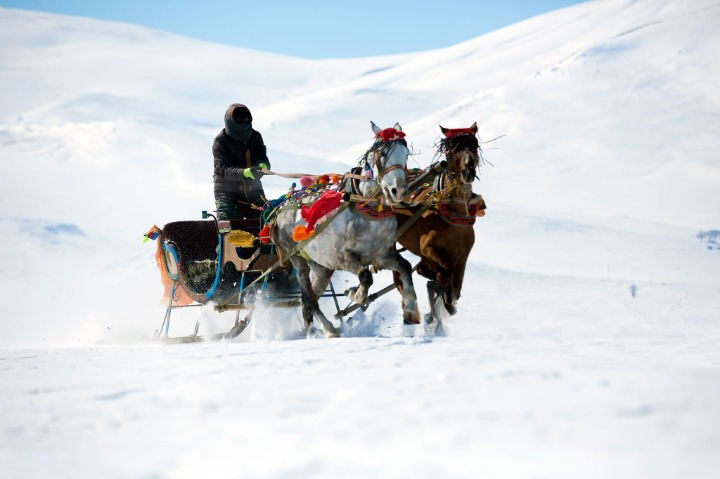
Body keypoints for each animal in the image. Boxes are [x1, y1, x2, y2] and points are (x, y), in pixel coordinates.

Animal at [390, 122, 486, 336]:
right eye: (451, 148)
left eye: (474, 144)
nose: (468, 170)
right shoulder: (428, 251)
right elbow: (442, 274)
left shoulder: (462, 258)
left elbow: (454, 291)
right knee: (400, 278)